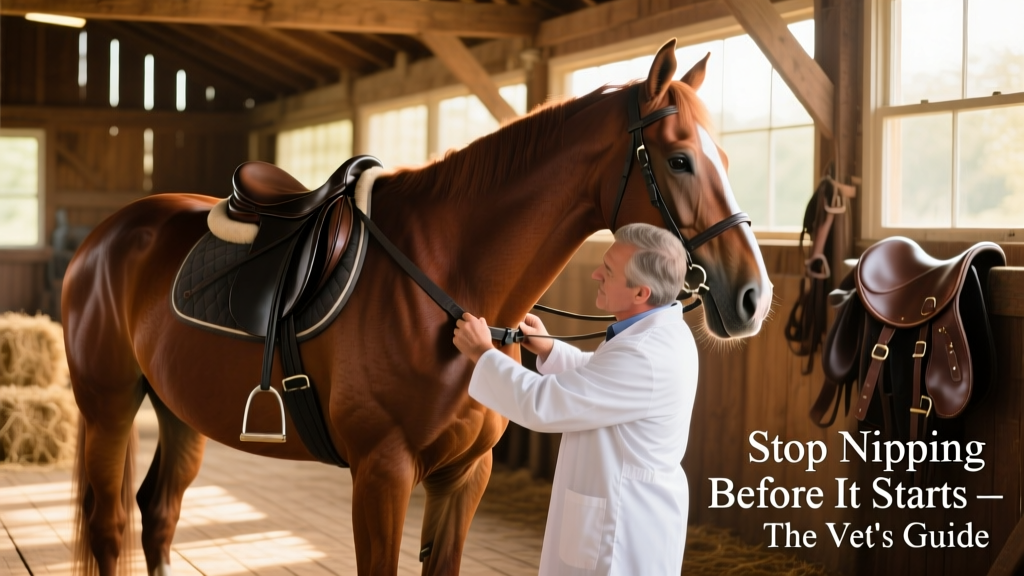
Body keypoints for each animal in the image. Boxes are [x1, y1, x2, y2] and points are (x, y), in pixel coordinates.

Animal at [63, 39, 772, 576]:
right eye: (679, 159)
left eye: (726, 156)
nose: (753, 297)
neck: (445, 275)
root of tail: (105, 237)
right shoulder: (383, 473)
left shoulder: (463, 476)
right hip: (108, 406)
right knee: (108, 525)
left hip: (178, 409)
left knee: (159, 514)